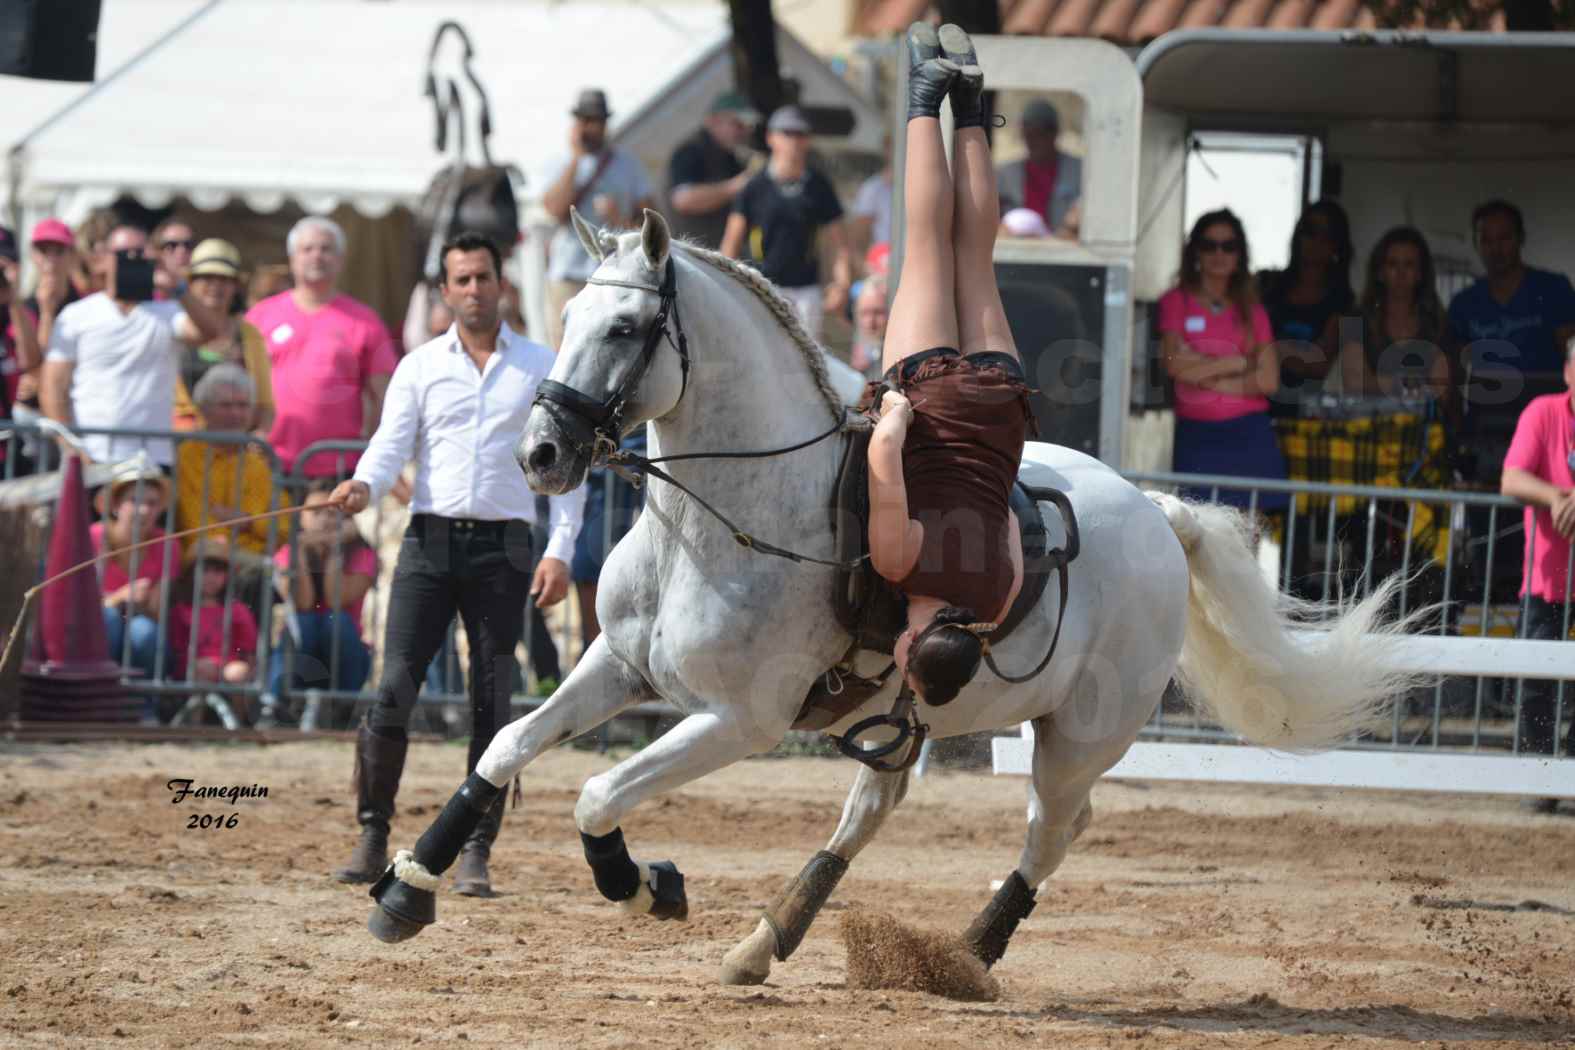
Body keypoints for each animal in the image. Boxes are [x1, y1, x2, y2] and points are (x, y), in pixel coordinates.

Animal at [365, 210, 1417, 988]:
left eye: (623, 329)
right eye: (568, 320)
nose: (540, 455)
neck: (718, 522)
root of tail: (1157, 514)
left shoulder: (735, 721)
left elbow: (594, 794)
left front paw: (642, 883)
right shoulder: (616, 666)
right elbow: (505, 747)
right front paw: (408, 886)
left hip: (1079, 736)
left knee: (1052, 830)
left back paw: (968, 955)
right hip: (908, 715)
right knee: (874, 811)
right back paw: (766, 943)